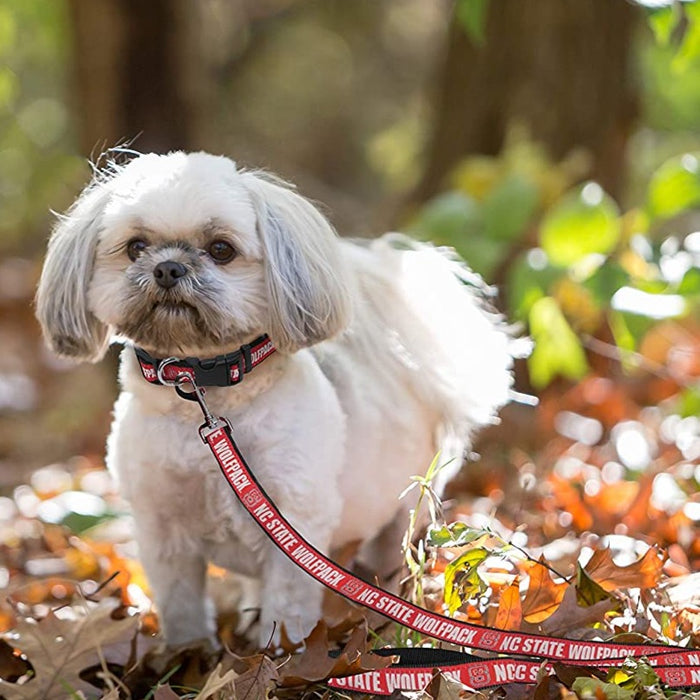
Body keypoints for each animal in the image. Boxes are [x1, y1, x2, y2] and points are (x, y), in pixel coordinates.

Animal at [35, 150, 516, 648]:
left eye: (221, 249)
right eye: (135, 246)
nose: (168, 268)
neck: (205, 390)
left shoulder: (293, 523)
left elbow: (287, 606)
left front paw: (281, 652)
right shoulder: (161, 530)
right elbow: (182, 606)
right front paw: (189, 654)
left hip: (403, 505)